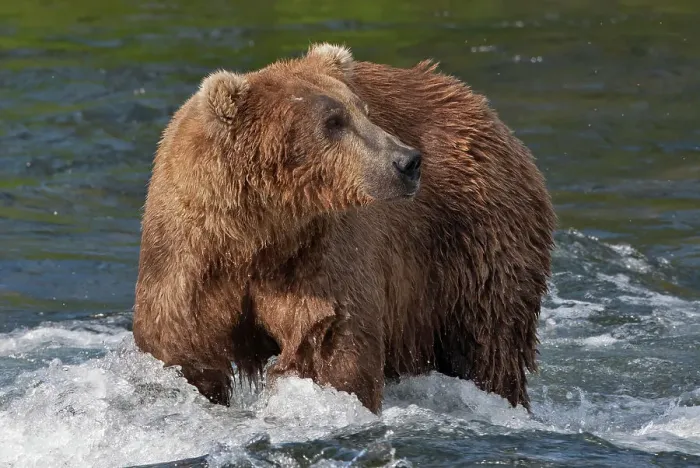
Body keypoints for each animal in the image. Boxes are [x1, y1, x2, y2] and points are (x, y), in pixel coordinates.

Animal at [132, 42, 556, 414]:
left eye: (363, 110)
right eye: (333, 121)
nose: (408, 161)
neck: (260, 233)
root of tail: (478, 105)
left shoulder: (320, 252)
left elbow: (328, 344)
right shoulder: (187, 256)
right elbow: (181, 349)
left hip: (476, 239)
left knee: (490, 341)